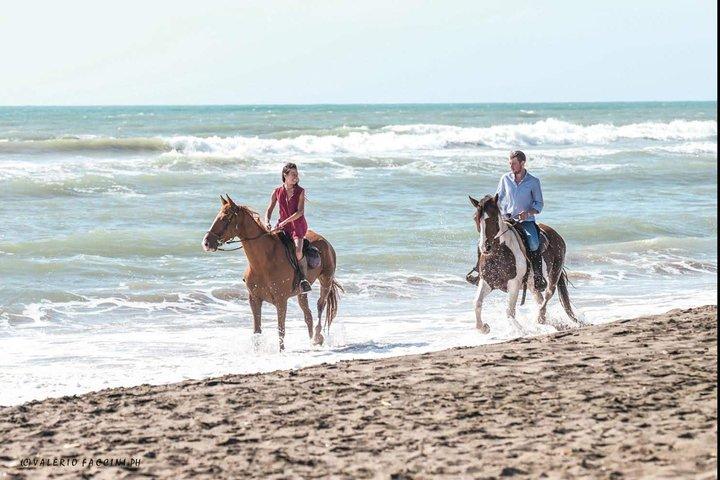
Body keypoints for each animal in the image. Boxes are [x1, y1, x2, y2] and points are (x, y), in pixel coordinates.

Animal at [202, 194, 342, 351]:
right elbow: (257, 330)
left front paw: (281, 352)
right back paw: (311, 341)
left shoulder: (281, 301)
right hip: (301, 293)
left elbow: (281, 329)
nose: (206, 243)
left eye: (225, 218)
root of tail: (325, 241)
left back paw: (317, 338)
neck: (263, 263)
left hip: (326, 280)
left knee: (320, 305)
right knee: (308, 316)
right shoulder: (254, 299)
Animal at [468, 194, 577, 333]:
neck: (498, 255)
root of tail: (556, 234)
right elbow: (477, 303)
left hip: (554, 273)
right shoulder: (487, 281)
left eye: (493, 219)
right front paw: (484, 328)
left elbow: (509, 312)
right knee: (540, 299)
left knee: (548, 294)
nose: (484, 247)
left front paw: (523, 330)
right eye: (475, 218)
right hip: (532, 285)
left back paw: (540, 319)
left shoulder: (514, 284)